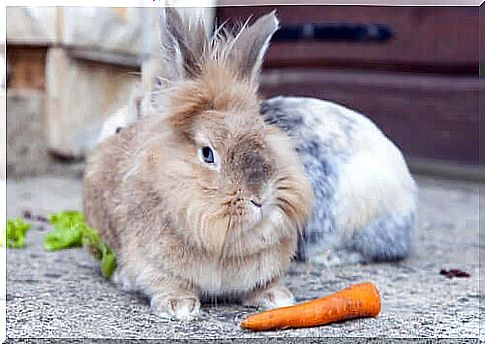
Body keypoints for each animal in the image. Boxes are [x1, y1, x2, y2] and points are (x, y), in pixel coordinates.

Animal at [82, 8, 312, 320]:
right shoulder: (151, 262)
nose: (259, 198)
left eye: (262, 137)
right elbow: (166, 282)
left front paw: (277, 299)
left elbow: (264, 283)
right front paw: (178, 307)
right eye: (207, 154)